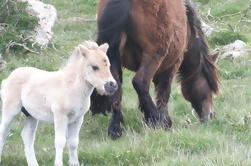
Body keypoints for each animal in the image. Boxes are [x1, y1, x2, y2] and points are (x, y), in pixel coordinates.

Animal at [90, 0, 220, 139]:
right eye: (210, 87)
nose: (211, 114)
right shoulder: (172, 64)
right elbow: (164, 92)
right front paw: (164, 121)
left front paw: (148, 118)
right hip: (153, 55)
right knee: (140, 82)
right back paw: (157, 119)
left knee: (115, 85)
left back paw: (116, 128)